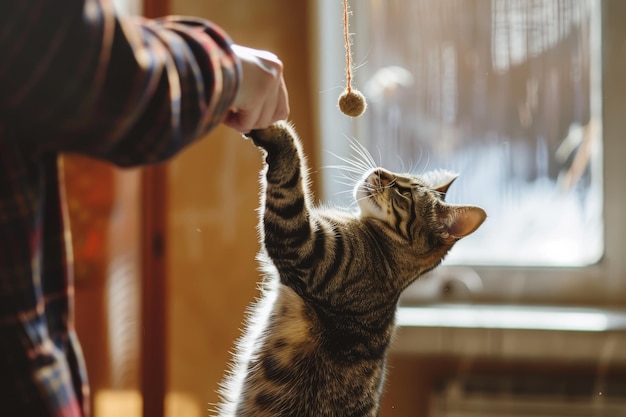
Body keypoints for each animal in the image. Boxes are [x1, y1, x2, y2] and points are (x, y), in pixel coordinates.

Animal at [217, 121, 486, 416]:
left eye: (404, 192)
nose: (379, 170)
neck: (385, 252)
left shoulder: (302, 247)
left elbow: (291, 170)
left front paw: (276, 131)